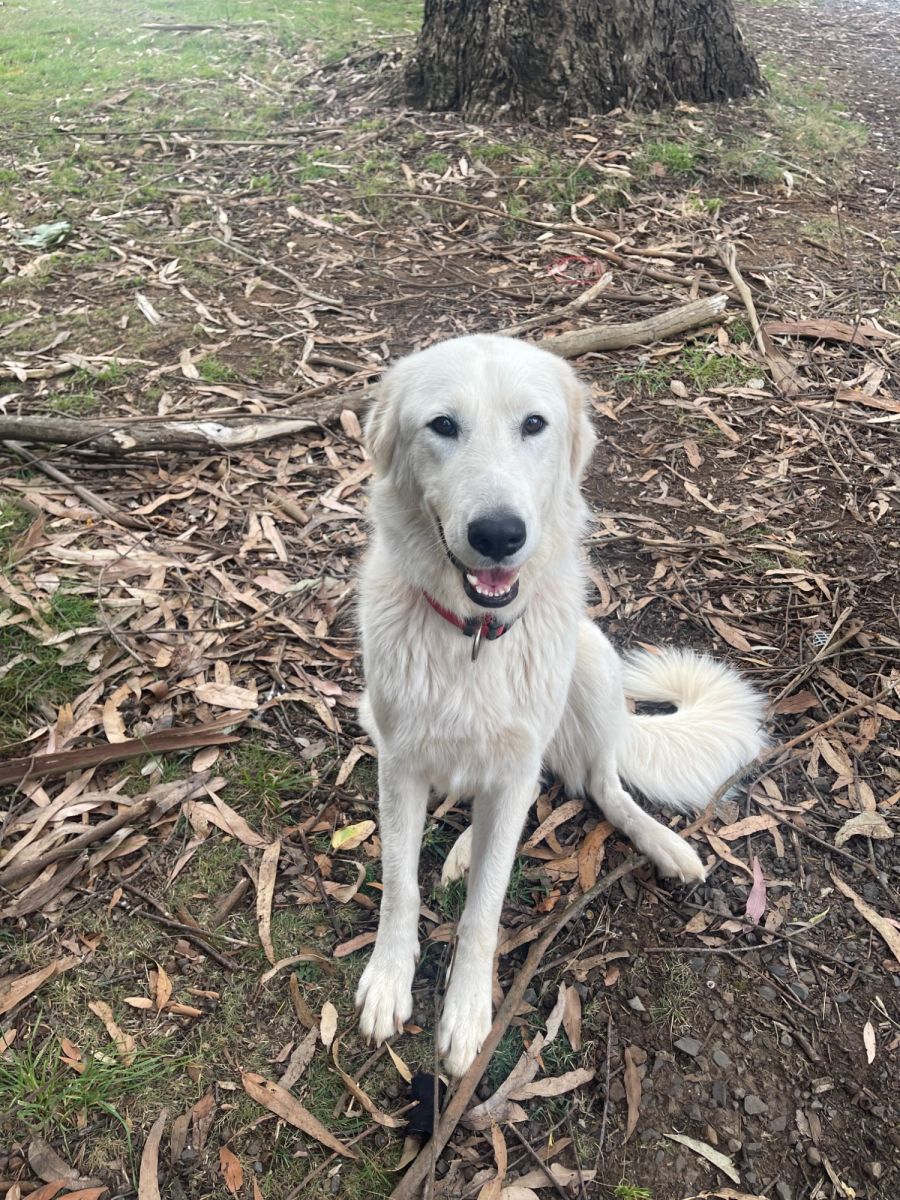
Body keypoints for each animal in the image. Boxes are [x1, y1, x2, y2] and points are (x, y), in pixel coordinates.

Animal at [354, 334, 765, 1078]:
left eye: (534, 425)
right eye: (443, 425)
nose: (498, 534)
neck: (475, 637)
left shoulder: (513, 767)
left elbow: (485, 909)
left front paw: (467, 1012)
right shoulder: (399, 766)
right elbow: (401, 884)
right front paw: (390, 978)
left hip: (594, 662)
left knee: (600, 785)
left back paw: (661, 844)